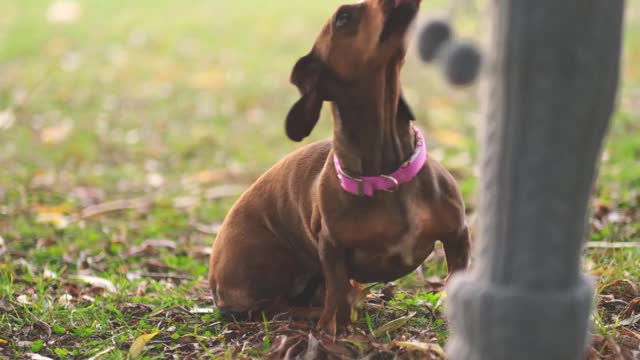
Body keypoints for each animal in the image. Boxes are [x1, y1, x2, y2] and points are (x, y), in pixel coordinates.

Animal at [210, 0, 470, 334]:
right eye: (343, 18)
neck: (387, 175)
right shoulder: (331, 248)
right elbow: (337, 293)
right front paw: (335, 331)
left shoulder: (457, 235)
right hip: (272, 259)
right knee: (277, 306)